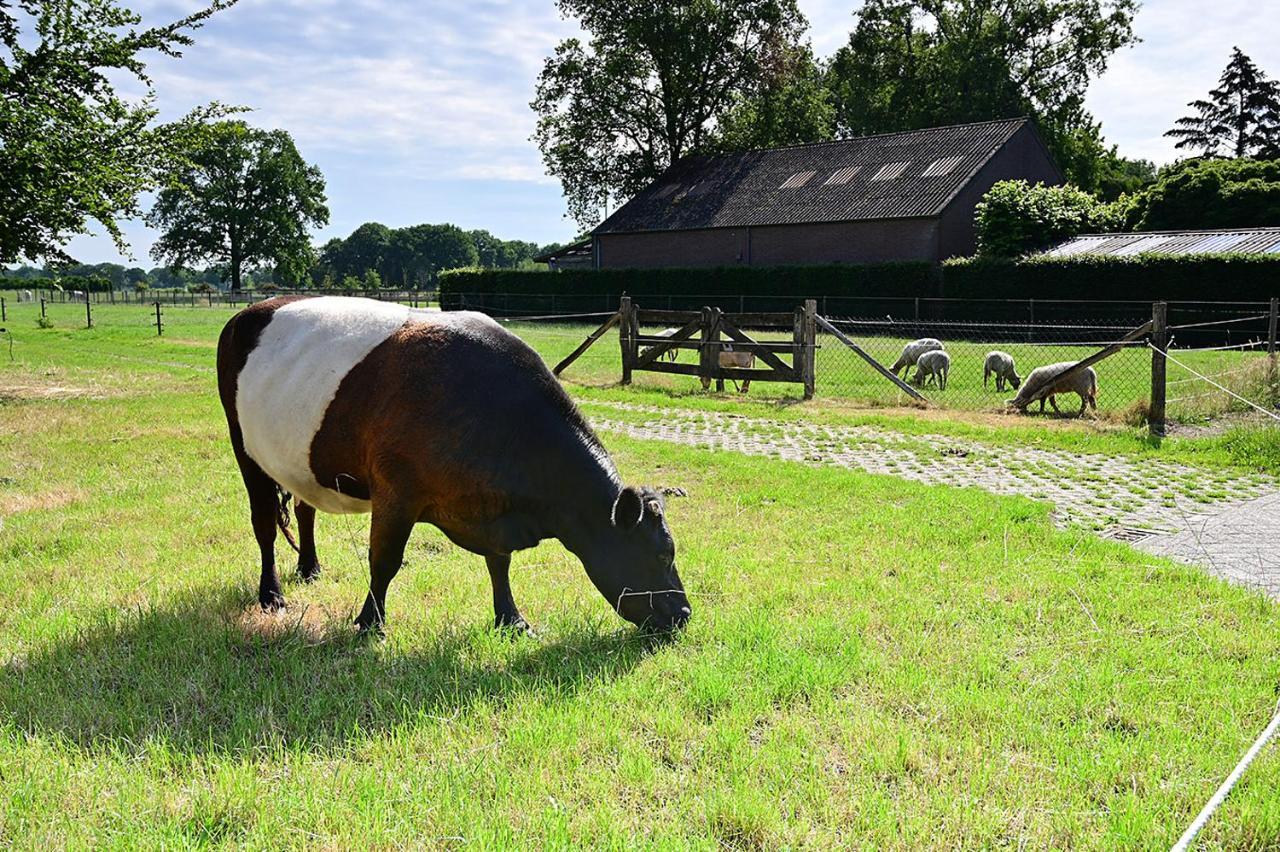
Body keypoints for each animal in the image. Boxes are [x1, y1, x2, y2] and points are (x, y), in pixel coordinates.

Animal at [220, 295, 696, 634]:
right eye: (661, 553)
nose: (685, 612)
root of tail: (252, 310)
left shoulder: (491, 507)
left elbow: (499, 562)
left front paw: (512, 619)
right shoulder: (396, 491)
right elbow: (384, 560)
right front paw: (370, 623)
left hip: (299, 461)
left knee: (304, 508)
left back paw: (310, 568)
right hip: (244, 446)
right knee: (264, 523)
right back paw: (271, 594)